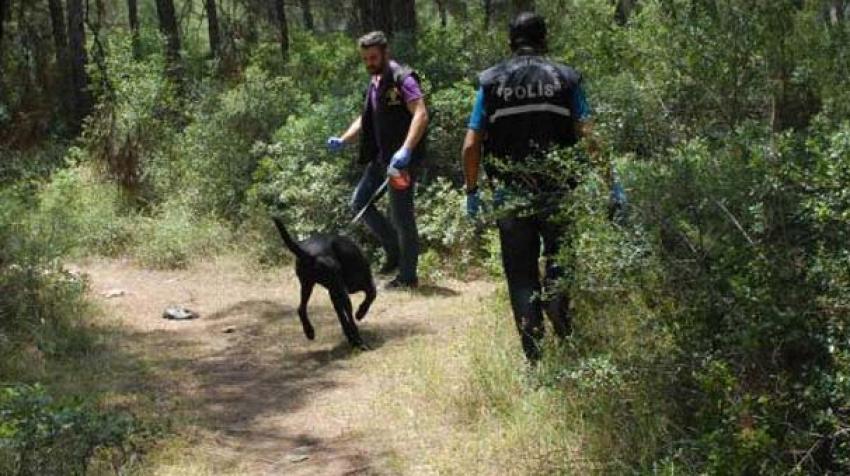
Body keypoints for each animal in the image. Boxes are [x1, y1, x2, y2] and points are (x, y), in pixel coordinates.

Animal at [270, 216, 376, 350]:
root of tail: (308, 253)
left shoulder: (334, 294)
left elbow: (342, 318)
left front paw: (349, 336)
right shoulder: (363, 283)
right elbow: (371, 295)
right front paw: (360, 313)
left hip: (307, 284)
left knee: (301, 309)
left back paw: (310, 331)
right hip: (339, 290)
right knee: (350, 315)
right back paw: (360, 342)